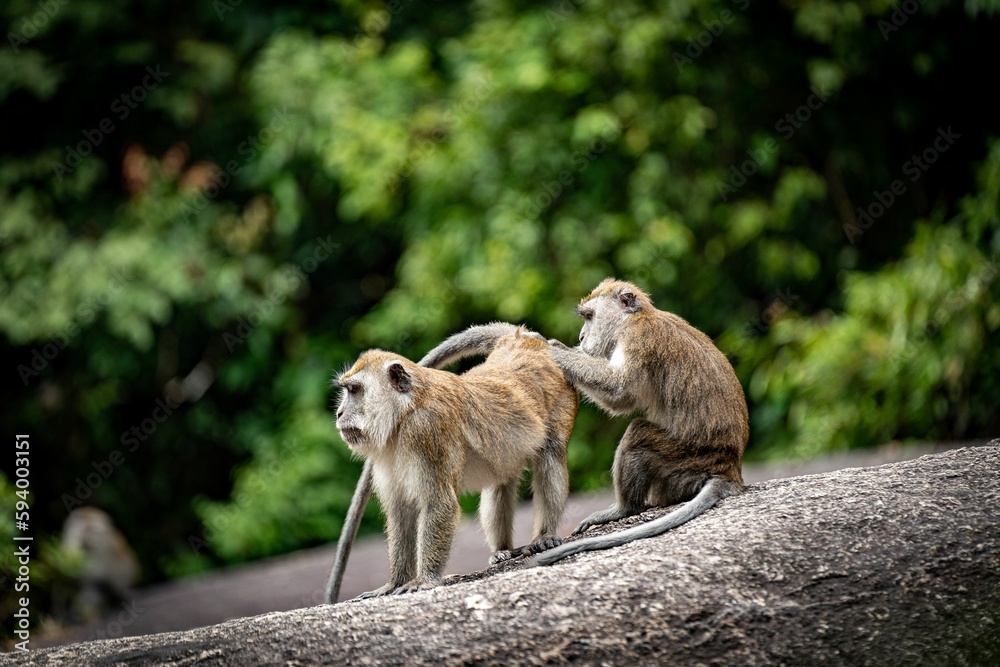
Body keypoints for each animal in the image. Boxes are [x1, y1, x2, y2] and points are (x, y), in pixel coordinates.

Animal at [328, 324, 580, 600]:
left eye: (354, 390)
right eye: (347, 390)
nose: (339, 413)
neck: (405, 412)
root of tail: (522, 340)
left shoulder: (427, 430)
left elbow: (440, 503)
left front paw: (424, 580)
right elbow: (401, 512)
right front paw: (394, 583)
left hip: (563, 398)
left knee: (550, 457)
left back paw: (544, 535)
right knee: (500, 480)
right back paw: (502, 549)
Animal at [536, 280, 748, 568]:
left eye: (589, 316)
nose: (581, 337)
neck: (635, 317)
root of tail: (729, 467)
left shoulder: (637, 338)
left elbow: (619, 392)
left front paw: (554, 350)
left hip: (685, 462)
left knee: (638, 433)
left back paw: (624, 509)